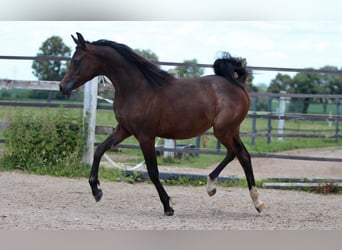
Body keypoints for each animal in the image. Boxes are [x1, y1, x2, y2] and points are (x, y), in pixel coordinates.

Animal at [60, 32, 264, 216]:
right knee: (241, 155)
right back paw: (249, 200)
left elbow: (153, 172)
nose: (62, 87)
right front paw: (96, 191)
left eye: (77, 60)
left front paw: (168, 207)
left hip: (223, 130)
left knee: (237, 153)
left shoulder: (145, 136)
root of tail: (238, 84)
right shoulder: (124, 130)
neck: (137, 89)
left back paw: (223, 191)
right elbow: (99, 150)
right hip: (231, 130)